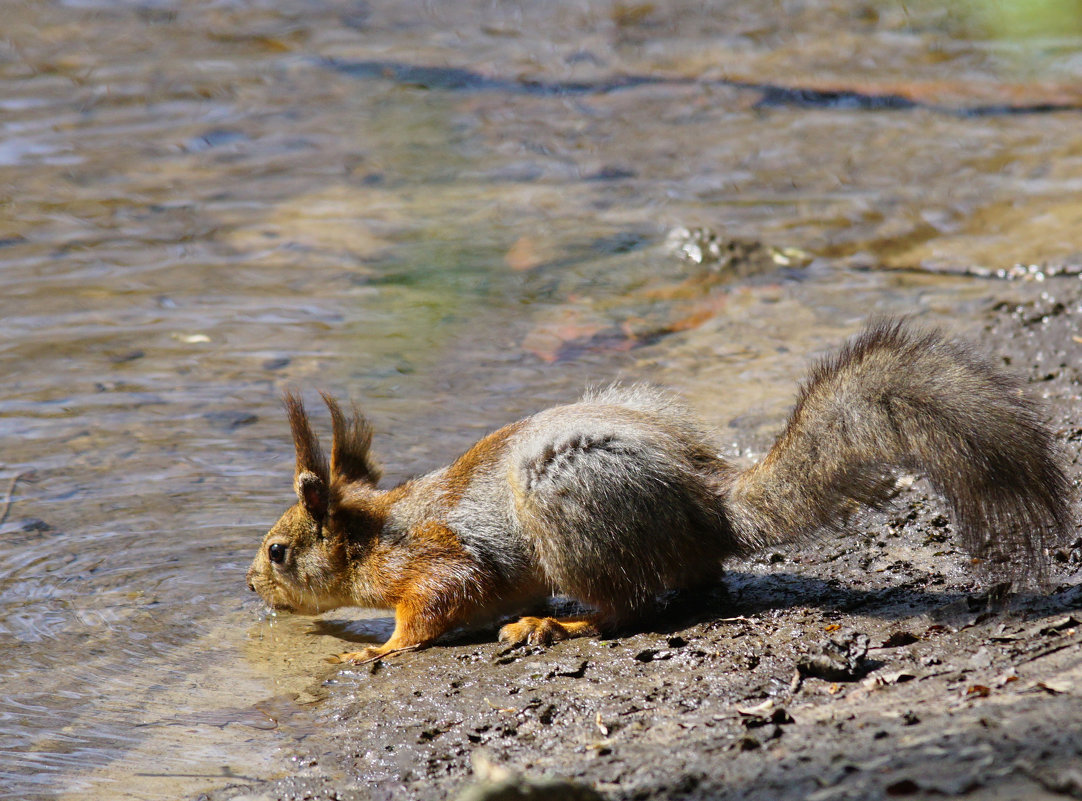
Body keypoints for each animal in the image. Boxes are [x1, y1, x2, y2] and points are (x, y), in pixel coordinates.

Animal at [248, 318, 1069, 662]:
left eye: (280, 550)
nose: (251, 583)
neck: (374, 532)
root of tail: (705, 505)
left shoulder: (432, 557)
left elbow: (438, 599)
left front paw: (377, 648)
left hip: (568, 509)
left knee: (630, 607)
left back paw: (560, 625)